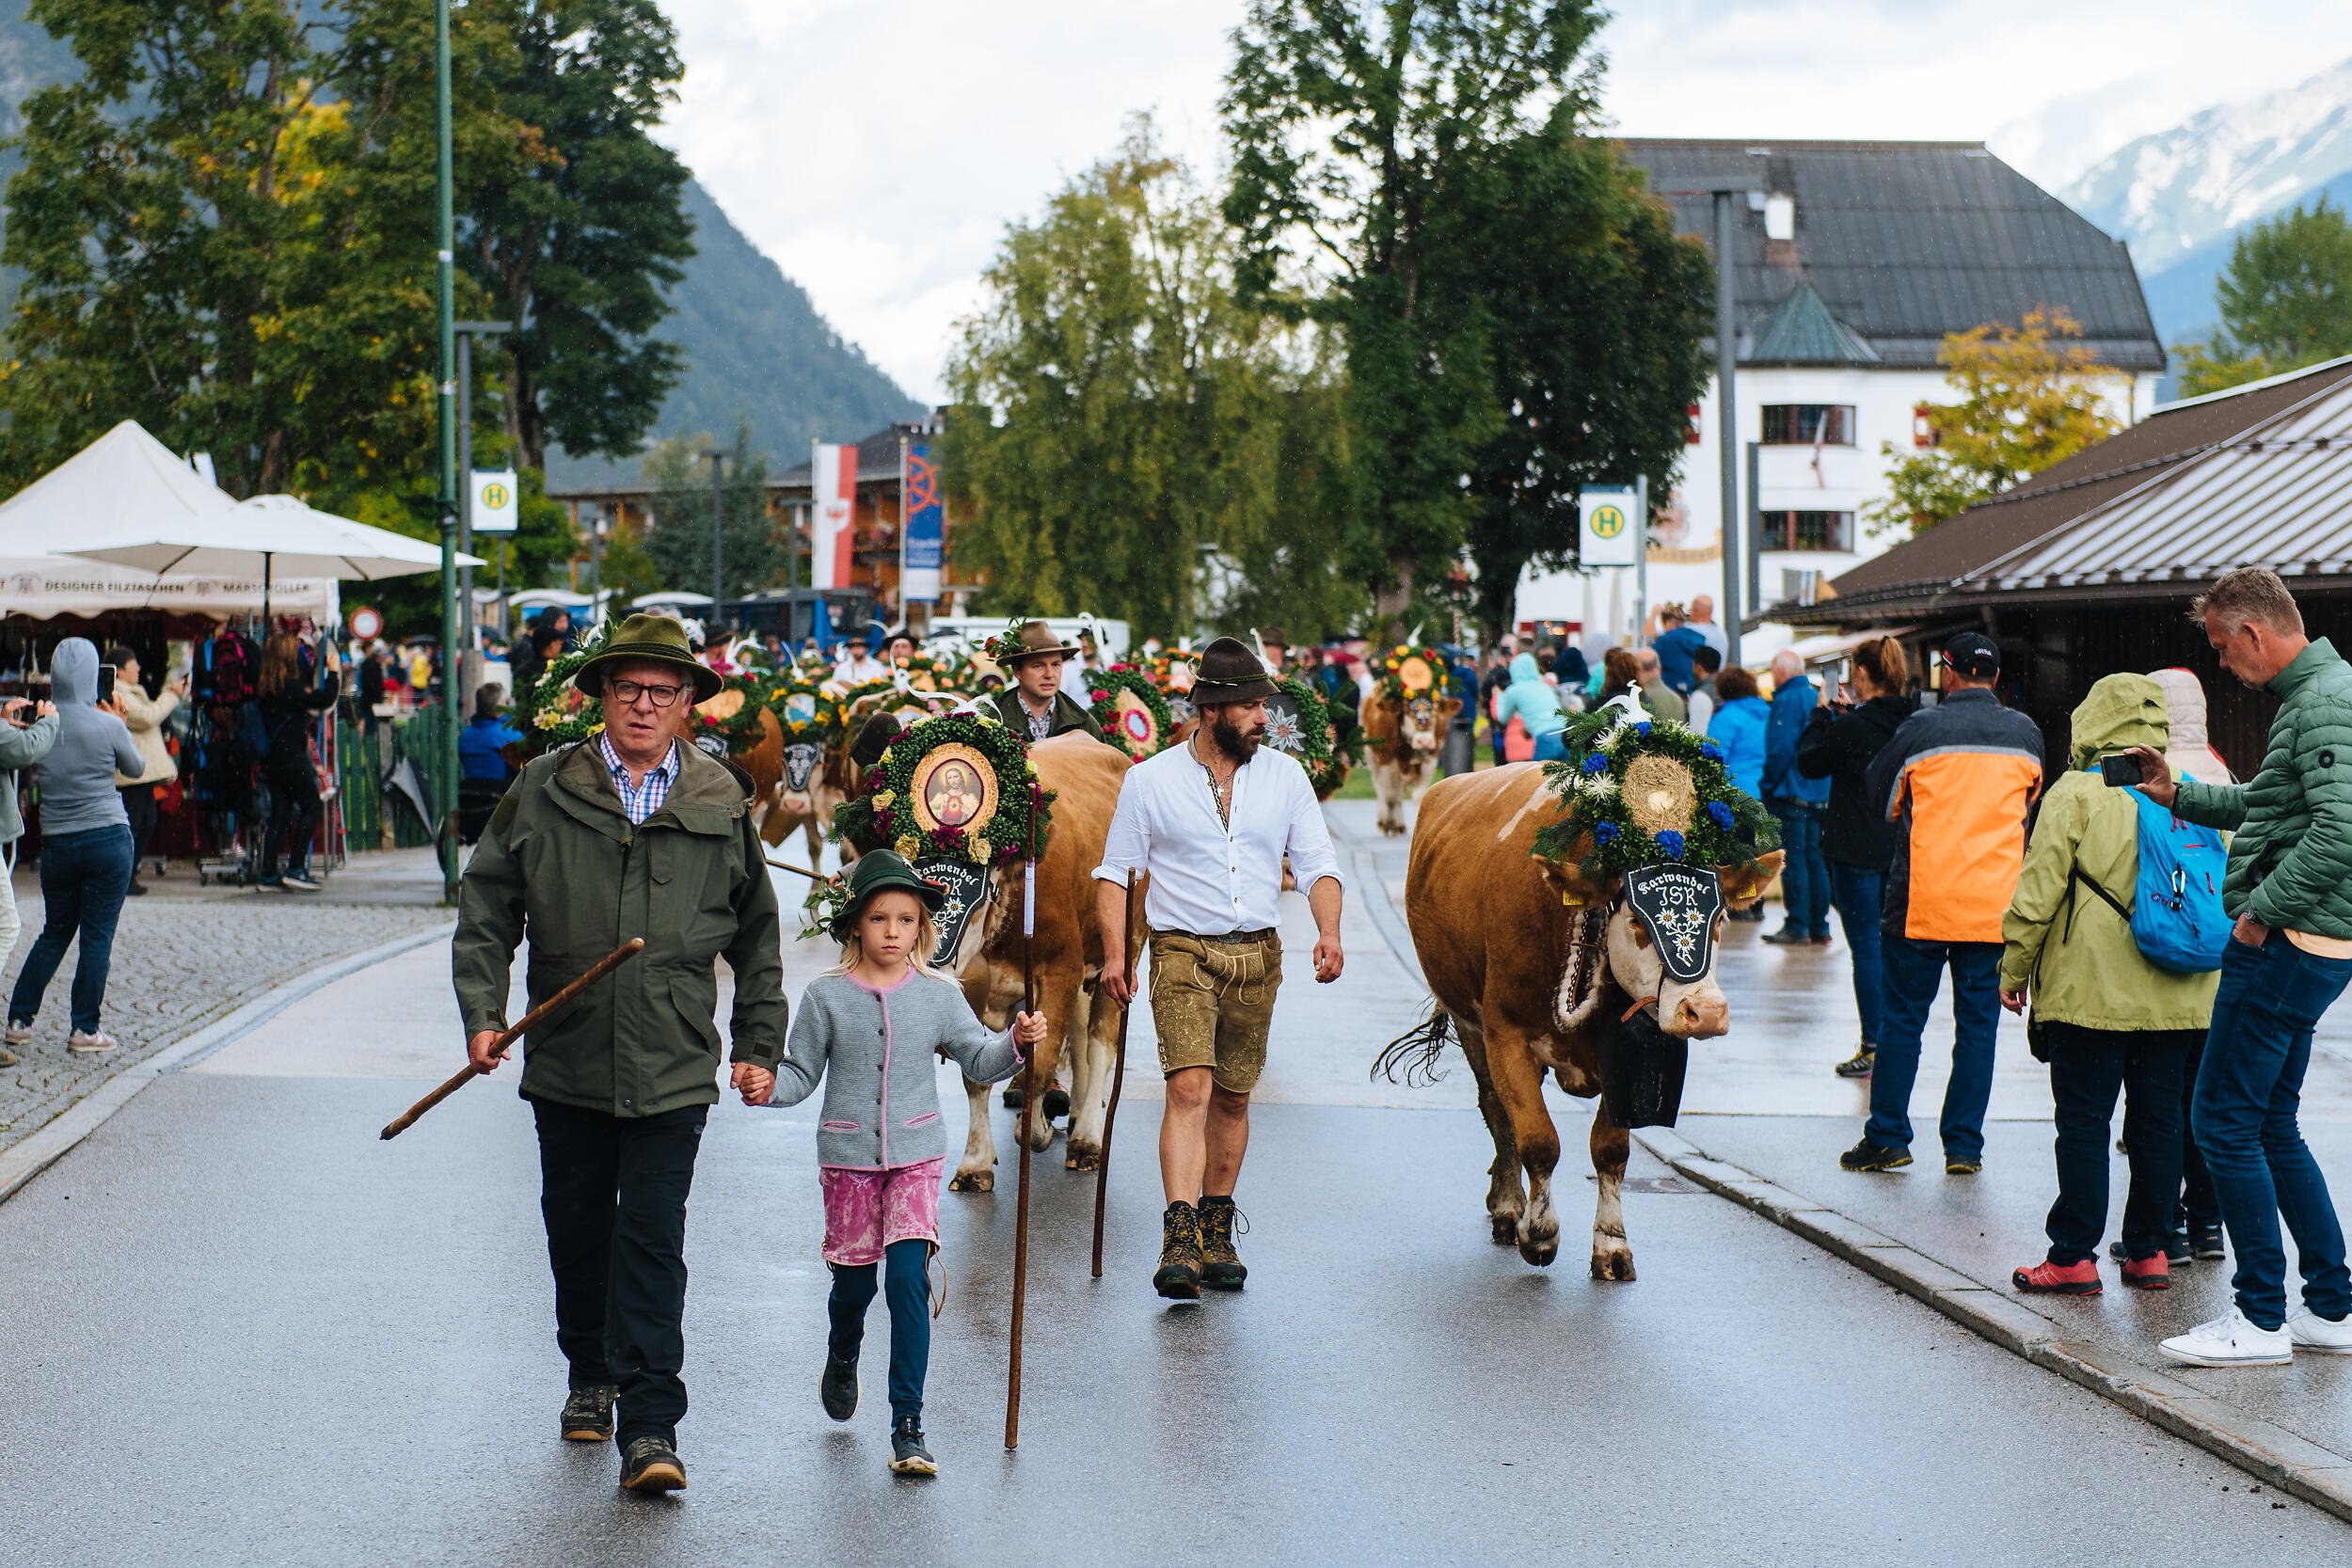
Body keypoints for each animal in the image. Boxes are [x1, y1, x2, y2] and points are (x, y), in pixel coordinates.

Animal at [1364, 686, 1449, 832]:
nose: (1424, 741)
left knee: (1398, 793)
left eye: (1436, 711)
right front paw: (1388, 825)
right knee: (1381, 788)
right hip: (1373, 759)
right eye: (1407, 711)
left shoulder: (1430, 761)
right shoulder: (1386, 761)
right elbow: (1389, 796)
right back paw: (1385, 821)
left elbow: (1419, 796)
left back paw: (1399, 824)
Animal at [1374, 719, 1778, 1278]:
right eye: (1638, 918)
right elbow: (1538, 1139)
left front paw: (1611, 1246)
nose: (1707, 1012)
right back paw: (1508, 1208)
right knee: (1496, 1112)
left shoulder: (1622, 1057)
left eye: (1720, 919)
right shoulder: (1505, 1034)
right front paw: (1540, 1233)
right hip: (1467, 1021)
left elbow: (1610, 1151)